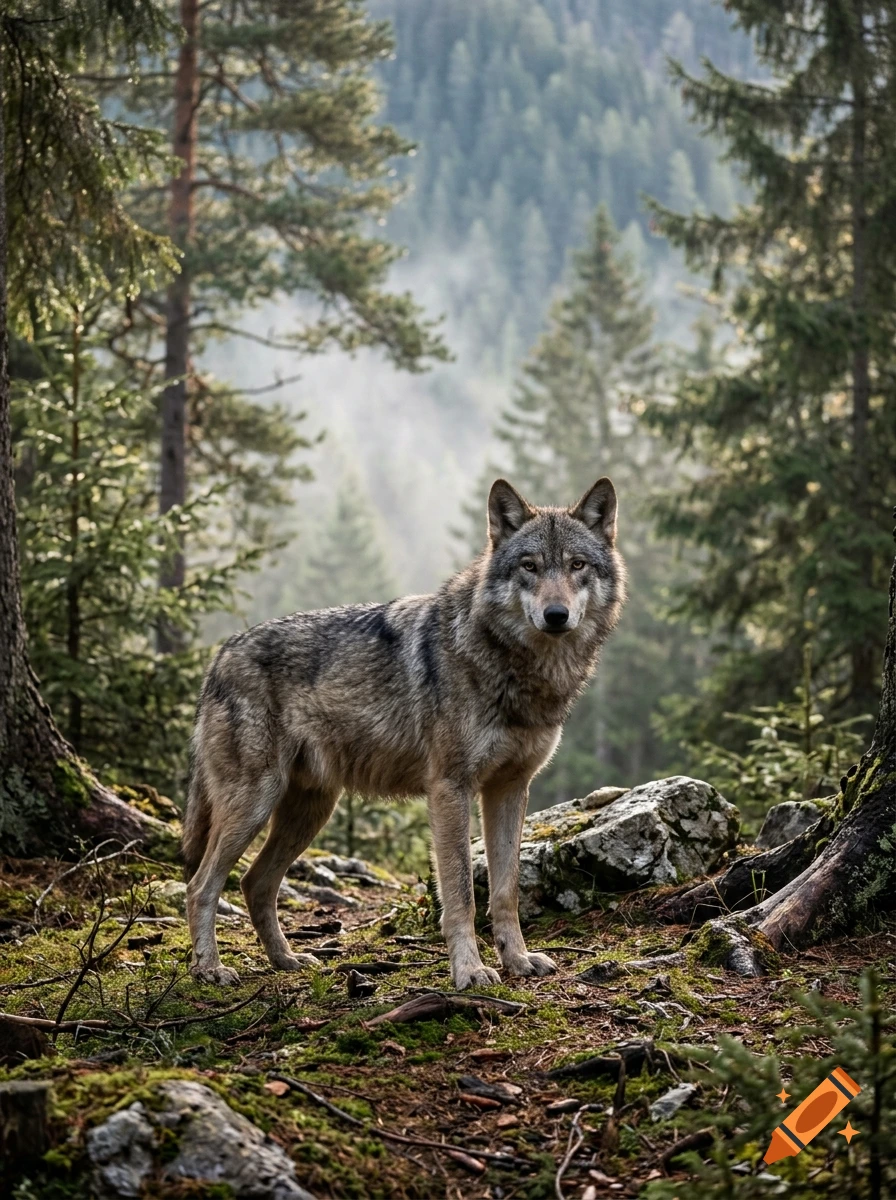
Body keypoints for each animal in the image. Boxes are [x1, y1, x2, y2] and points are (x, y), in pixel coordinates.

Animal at [182, 477, 625, 989]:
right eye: (530, 566)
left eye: (577, 565)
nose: (556, 615)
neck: (516, 669)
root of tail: (218, 657)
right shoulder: (450, 789)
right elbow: (461, 893)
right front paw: (469, 971)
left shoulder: (510, 789)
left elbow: (506, 891)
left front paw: (517, 960)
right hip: (255, 803)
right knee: (201, 885)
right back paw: (210, 969)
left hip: (310, 810)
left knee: (254, 882)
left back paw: (287, 960)